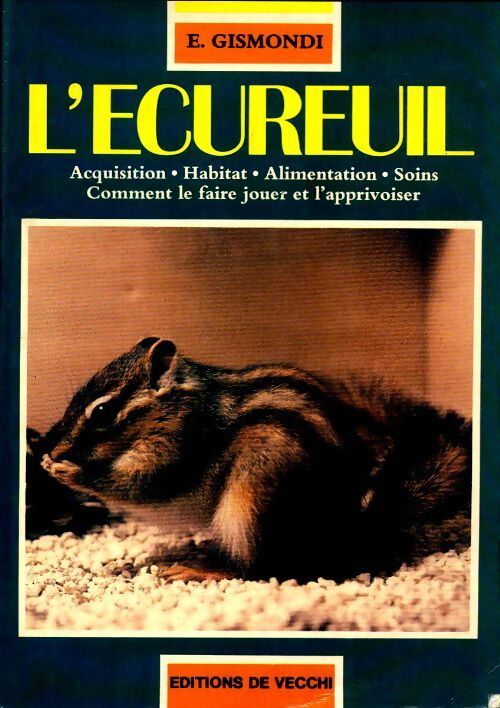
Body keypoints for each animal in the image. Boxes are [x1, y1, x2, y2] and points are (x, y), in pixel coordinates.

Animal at [37, 336, 472, 583]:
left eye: (102, 412)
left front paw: (65, 470)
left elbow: (140, 485)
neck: (177, 402)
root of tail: (352, 532)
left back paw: (202, 569)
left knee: (260, 570)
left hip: (249, 506)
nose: (50, 447)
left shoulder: (177, 447)